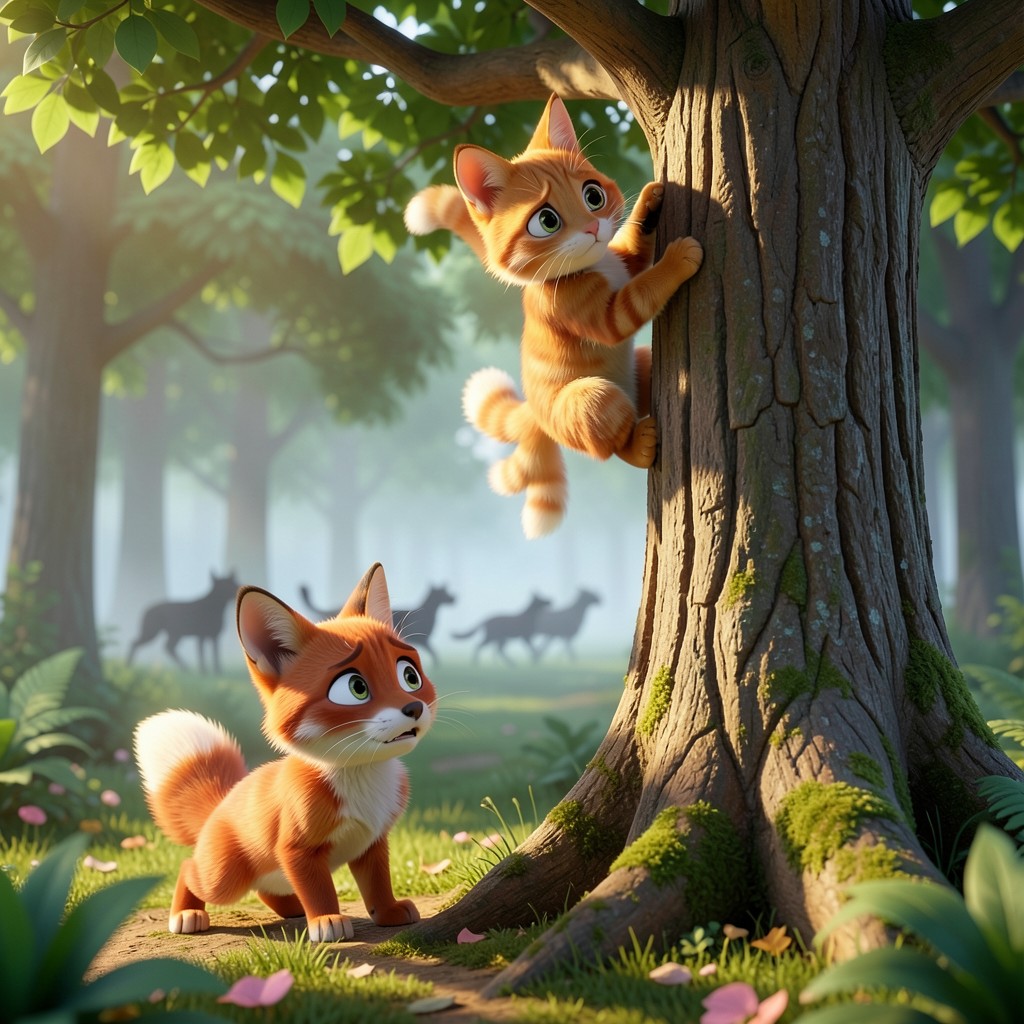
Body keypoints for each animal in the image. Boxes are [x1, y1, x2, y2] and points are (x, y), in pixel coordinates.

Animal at [133, 563, 435, 942]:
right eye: (356, 688)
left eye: (409, 675)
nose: (414, 708)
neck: (361, 778)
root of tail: (222, 802)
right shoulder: (296, 849)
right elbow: (319, 889)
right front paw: (326, 921)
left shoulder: (372, 841)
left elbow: (378, 886)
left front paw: (389, 913)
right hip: (224, 878)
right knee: (189, 868)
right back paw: (186, 914)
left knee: (267, 890)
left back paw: (292, 908)